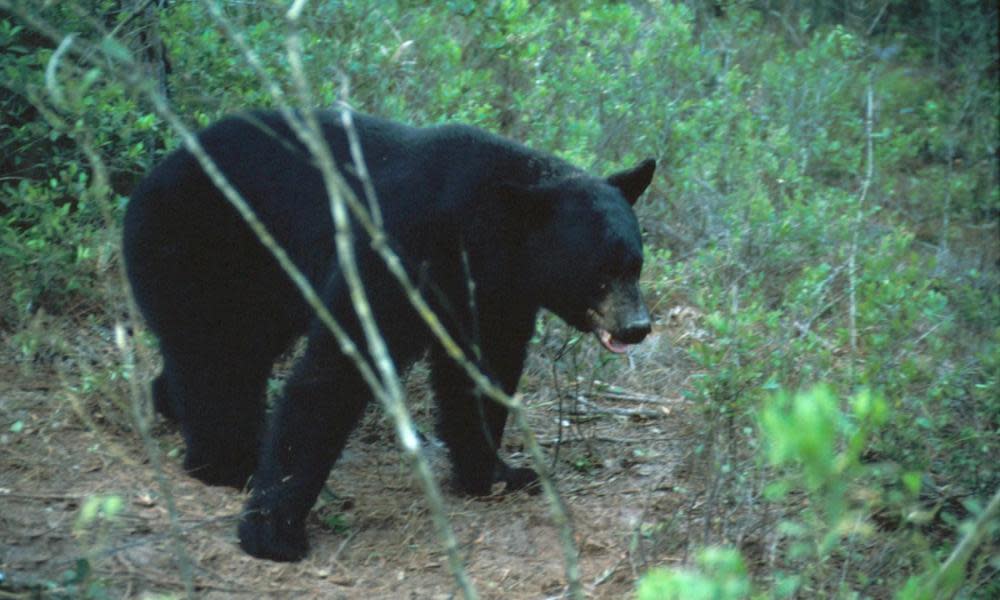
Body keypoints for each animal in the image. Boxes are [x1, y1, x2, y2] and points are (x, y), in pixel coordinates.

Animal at [123, 109, 656, 564]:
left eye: (635, 263)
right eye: (600, 275)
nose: (637, 327)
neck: (476, 232)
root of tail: (149, 177)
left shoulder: (490, 296)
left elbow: (481, 373)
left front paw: (498, 473)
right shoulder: (396, 249)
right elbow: (336, 368)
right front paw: (274, 530)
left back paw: (173, 406)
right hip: (202, 245)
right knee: (216, 354)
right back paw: (228, 462)